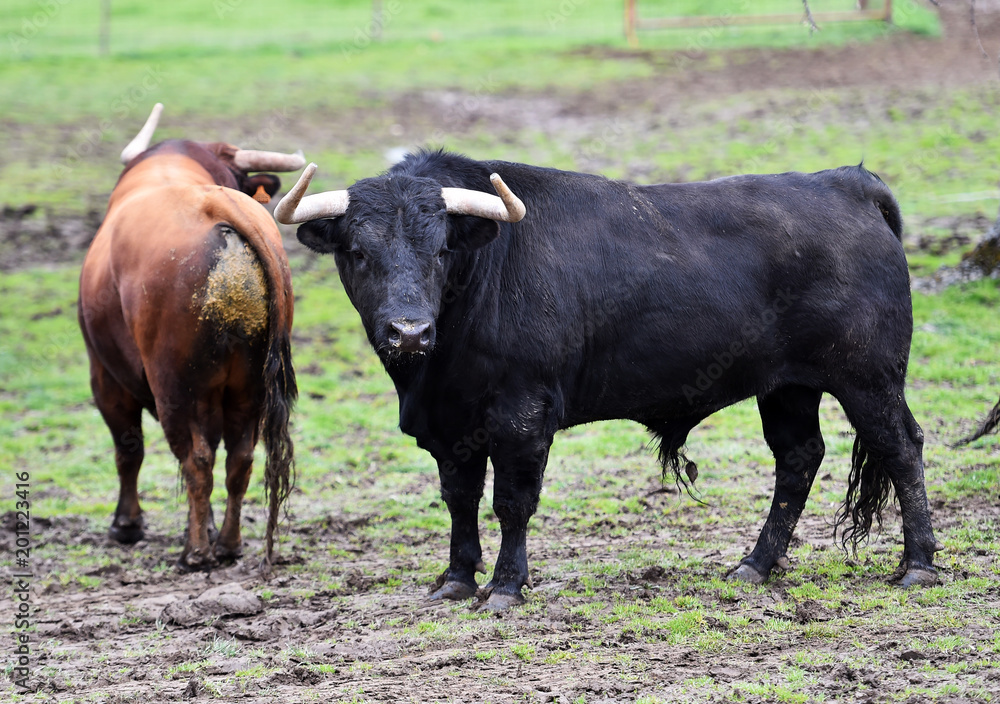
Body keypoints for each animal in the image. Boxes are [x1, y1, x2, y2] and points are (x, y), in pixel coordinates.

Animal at [79, 103, 298, 568]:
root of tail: (213, 203)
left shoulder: (104, 375)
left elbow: (129, 450)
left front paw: (126, 524)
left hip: (174, 387)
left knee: (194, 459)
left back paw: (195, 552)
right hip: (249, 387)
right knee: (238, 458)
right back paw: (227, 543)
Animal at [290, 153, 936, 612]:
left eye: (442, 249)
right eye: (357, 251)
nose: (408, 331)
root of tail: (846, 183)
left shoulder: (522, 416)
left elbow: (511, 502)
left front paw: (505, 587)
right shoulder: (450, 427)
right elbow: (460, 499)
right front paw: (455, 579)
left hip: (868, 378)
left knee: (901, 447)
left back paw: (918, 565)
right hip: (786, 387)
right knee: (799, 457)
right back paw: (754, 565)